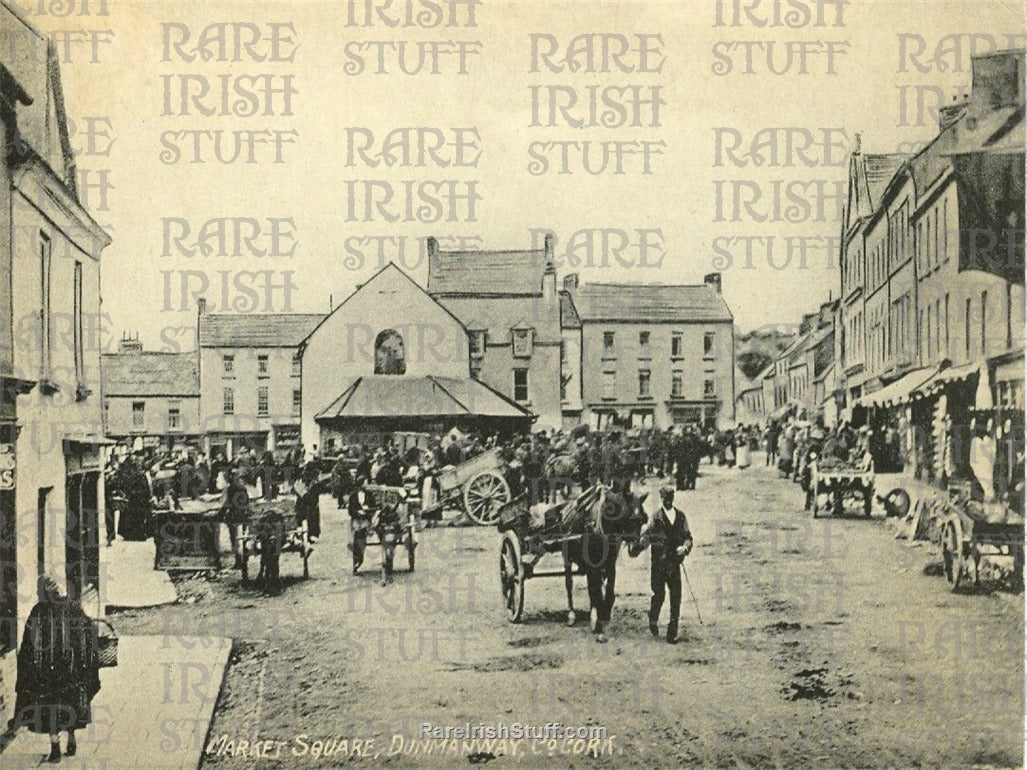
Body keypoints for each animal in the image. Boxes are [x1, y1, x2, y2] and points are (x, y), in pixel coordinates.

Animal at [558, 488, 644, 644]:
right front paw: (598, 626)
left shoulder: (610, 563)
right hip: (567, 556)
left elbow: (608, 592)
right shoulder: (594, 565)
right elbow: (596, 592)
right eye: (629, 518)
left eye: (643, 519)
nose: (637, 547)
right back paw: (571, 614)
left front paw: (603, 615)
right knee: (569, 584)